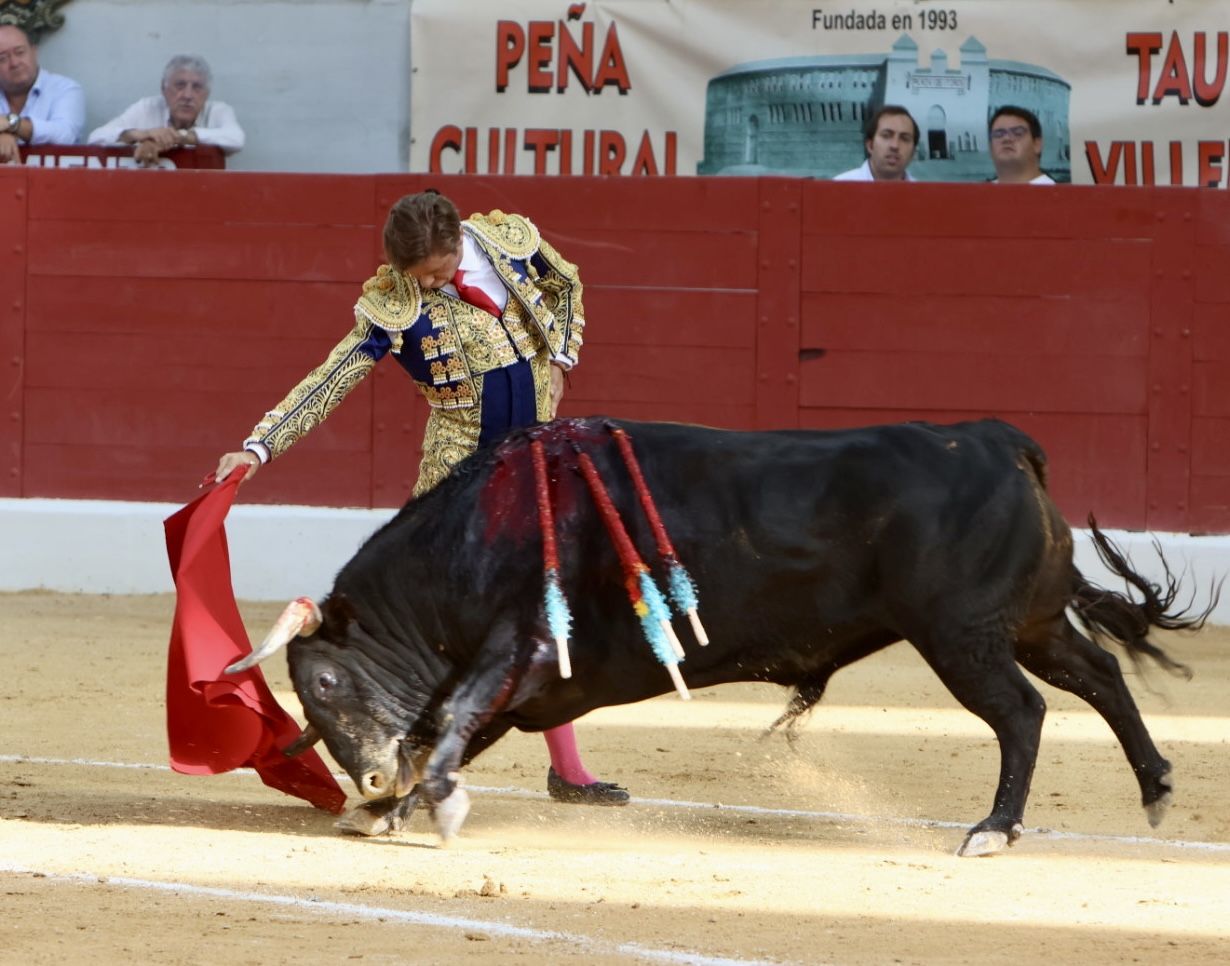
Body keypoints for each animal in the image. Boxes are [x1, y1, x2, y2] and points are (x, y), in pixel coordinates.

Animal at [232, 418, 1210, 856]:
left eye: (323, 685)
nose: (363, 778)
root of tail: (997, 441)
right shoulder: (526, 682)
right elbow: (459, 733)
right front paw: (396, 811)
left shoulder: (524, 649)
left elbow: (456, 723)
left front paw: (421, 806)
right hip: (1028, 620)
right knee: (1097, 673)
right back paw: (1157, 785)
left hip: (961, 635)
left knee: (1022, 711)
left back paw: (995, 828)